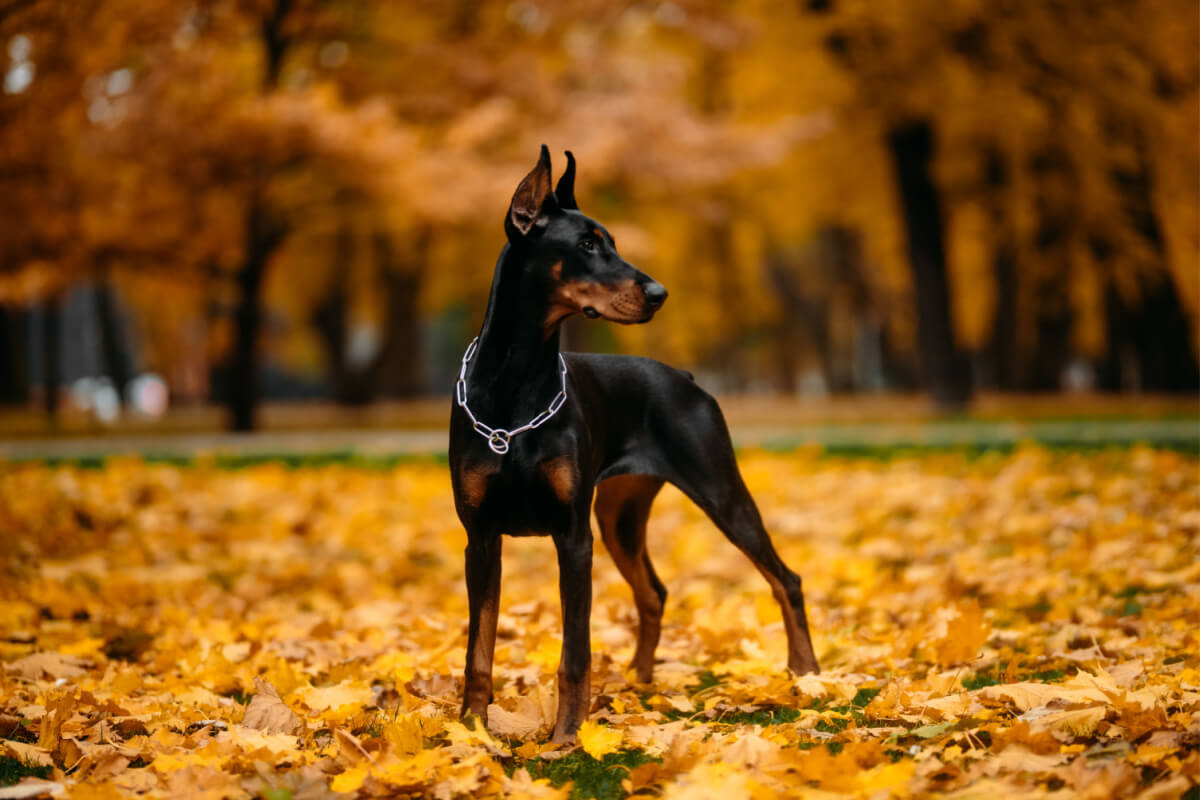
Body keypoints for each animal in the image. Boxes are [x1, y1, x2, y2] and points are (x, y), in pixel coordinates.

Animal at [451, 145, 825, 743]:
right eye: (585, 244)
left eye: (613, 242)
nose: (659, 293)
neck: (516, 383)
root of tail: (688, 378)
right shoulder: (481, 537)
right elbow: (478, 651)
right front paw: (471, 732)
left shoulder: (573, 535)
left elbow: (574, 653)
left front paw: (567, 738)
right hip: (619, 518)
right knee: (654, 592)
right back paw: (641, 682)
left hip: (718, 491)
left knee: (785, 577)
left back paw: (806, 673)